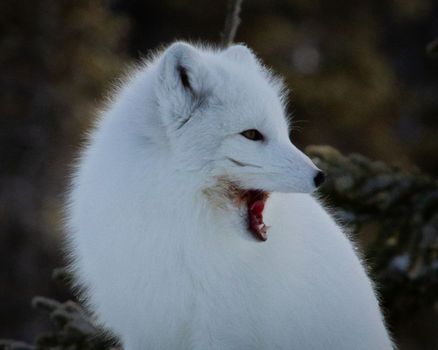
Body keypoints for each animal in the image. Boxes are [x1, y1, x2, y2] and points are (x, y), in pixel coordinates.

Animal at [66, 42, 396, 348]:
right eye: (251, 135)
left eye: (284, 133)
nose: (320, 176)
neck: (179, 226)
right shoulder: (145, 328)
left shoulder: (221, 333)